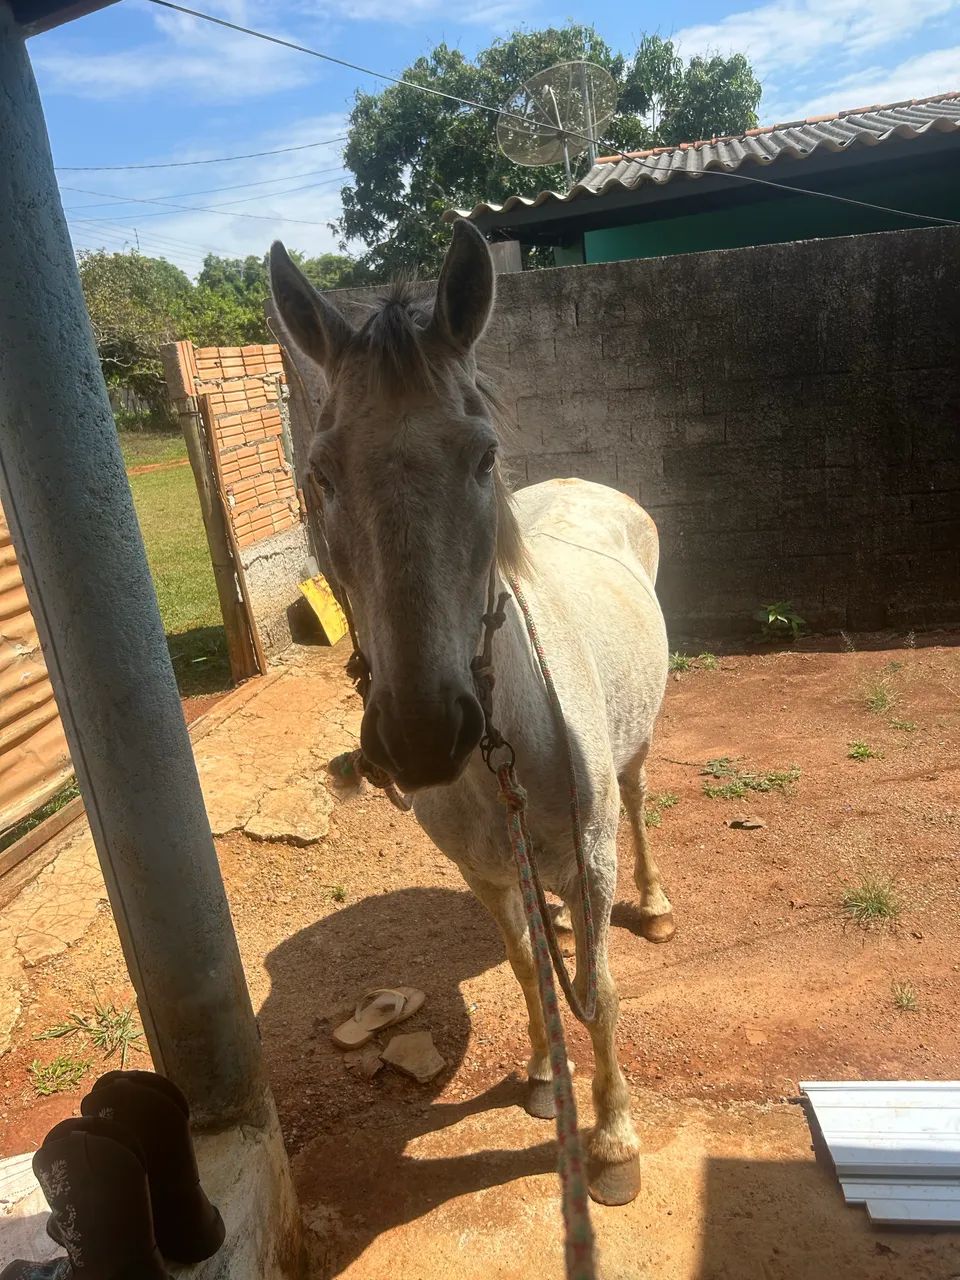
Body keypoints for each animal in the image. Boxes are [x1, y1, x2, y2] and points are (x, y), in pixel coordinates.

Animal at [270, 218, 673, 1207]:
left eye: (482, 456)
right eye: (319, 473)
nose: (421, 735)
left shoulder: (591, 857)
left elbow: (600, 991)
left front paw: (612, 1141)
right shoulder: (480, 873)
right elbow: (530, 970)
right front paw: (539, 1076)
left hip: (636, 754)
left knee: (641, 806)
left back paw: (655, 904)